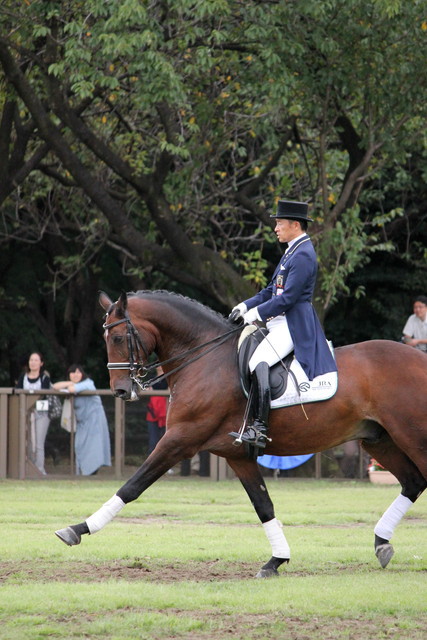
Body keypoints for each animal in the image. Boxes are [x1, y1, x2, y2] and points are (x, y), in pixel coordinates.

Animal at [55, 288, 426, 576]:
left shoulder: (180, 439)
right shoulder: (236, 454)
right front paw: (276, 561)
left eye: (118, 337)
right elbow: (263, 504)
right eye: (106, 338)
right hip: (380, 441)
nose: (120, 391)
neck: (204, 359)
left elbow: (132, 486)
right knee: (412, 482)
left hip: (411, 436)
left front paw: (77, 529)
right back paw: (381, 543)